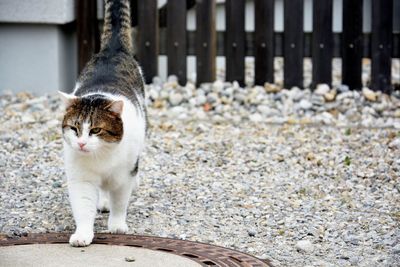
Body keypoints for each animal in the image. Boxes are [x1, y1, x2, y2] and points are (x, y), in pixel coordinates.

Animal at [58, 0, 146, 247]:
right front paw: (83, 234)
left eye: (96, 130)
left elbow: (120, 201)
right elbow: (83, 206)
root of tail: (112, 50)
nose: (81, 144)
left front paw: (117, 225)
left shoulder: (124, 174)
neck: (101, 158)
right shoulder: (81, 178)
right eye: (75, 128)